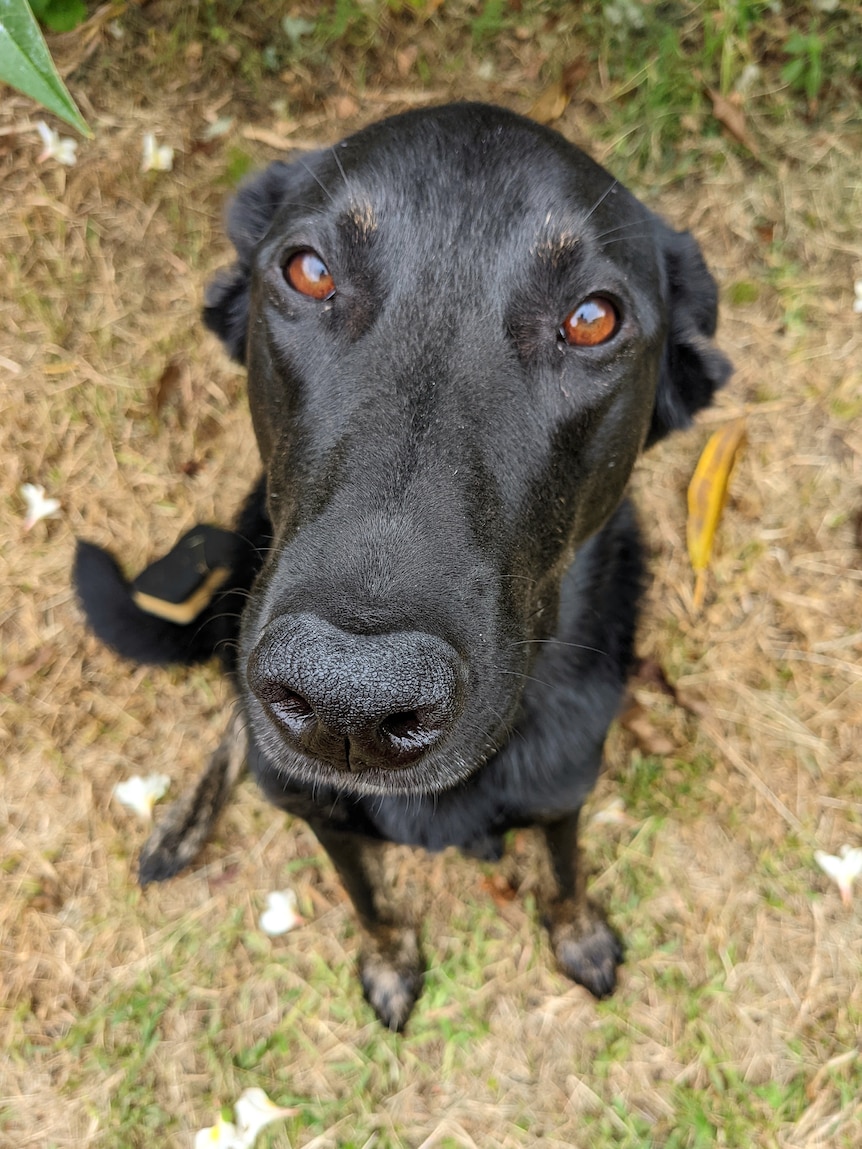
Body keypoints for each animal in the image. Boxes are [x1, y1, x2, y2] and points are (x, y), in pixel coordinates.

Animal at [77, 103, 730, 1029]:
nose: (346, 701)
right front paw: (390, 958)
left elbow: (565, 868)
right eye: (310, 271)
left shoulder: (564, 787)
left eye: (593, 319)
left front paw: (577, 932)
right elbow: (367, 895)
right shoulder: (321, 813)